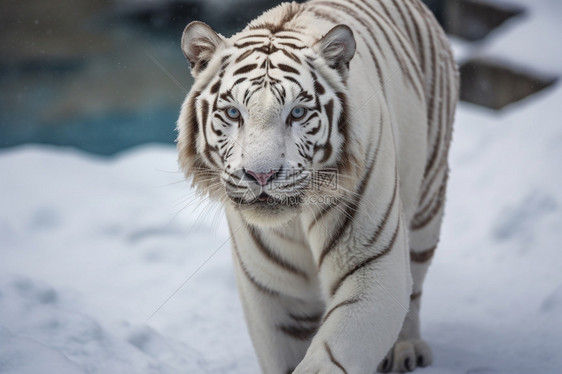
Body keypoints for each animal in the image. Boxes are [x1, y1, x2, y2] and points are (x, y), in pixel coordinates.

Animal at [177, 0, 458, 372]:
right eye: (234, 114)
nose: (261, 175)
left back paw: (407, 350)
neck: (293, 221)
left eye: (297, 113)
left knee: (414, 281)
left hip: (428, 196)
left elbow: (335, 353)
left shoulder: (371, 263)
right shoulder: (273, 289)